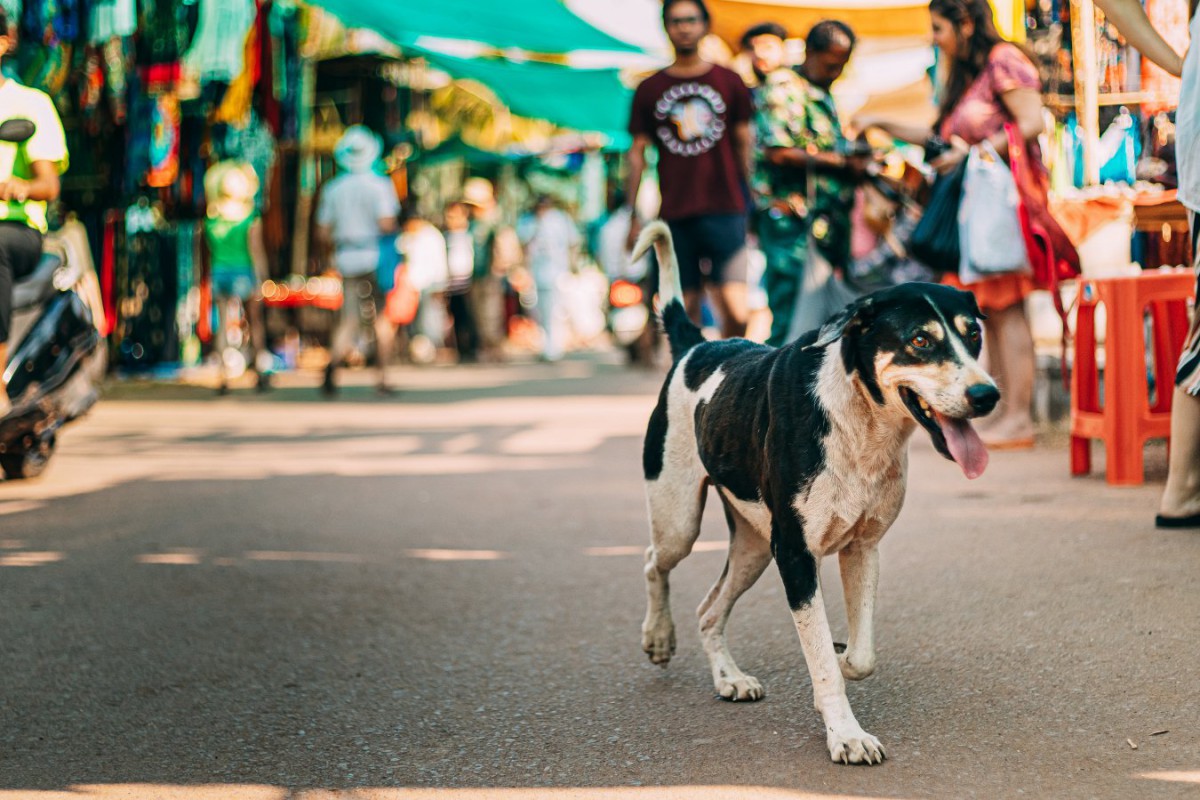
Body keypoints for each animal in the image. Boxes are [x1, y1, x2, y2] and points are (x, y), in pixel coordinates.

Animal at [633, 221, 998, 767]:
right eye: (920, 340)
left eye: (973, 335)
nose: (987, 395)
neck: (862, 423)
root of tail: (696, 348)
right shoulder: (797, 555)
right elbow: (821, 657)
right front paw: (846, 733)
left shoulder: (862, 548)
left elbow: (861, 656)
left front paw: (845, 658)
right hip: (681, 519)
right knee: (655, 562)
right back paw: (658, 636)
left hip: (755, 548)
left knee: (709, 609)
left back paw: (729, 678)